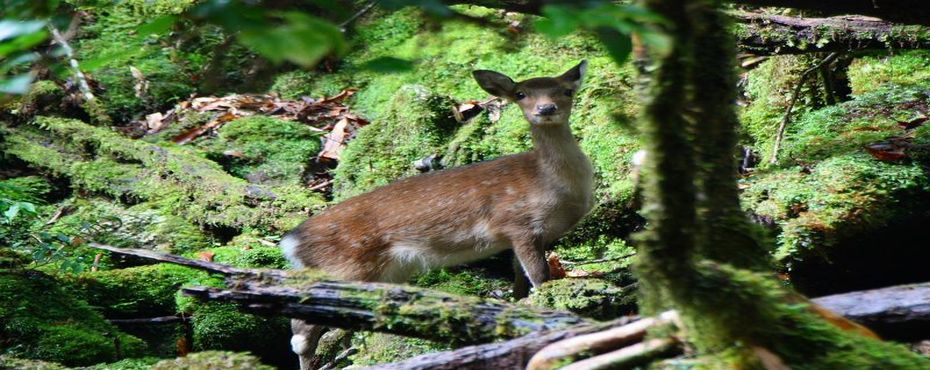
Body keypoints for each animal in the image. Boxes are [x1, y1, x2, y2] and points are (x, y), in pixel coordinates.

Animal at [280, 60, 596, 368]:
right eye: (520, 94)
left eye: (566, 91)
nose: (546, 109)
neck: (551, 184)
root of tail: (291, 242)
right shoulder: (518, 223)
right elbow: (539, 276)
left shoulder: (526, 237)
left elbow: (520, 278)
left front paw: (518, 304)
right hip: (344, 267)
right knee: (301, 328)